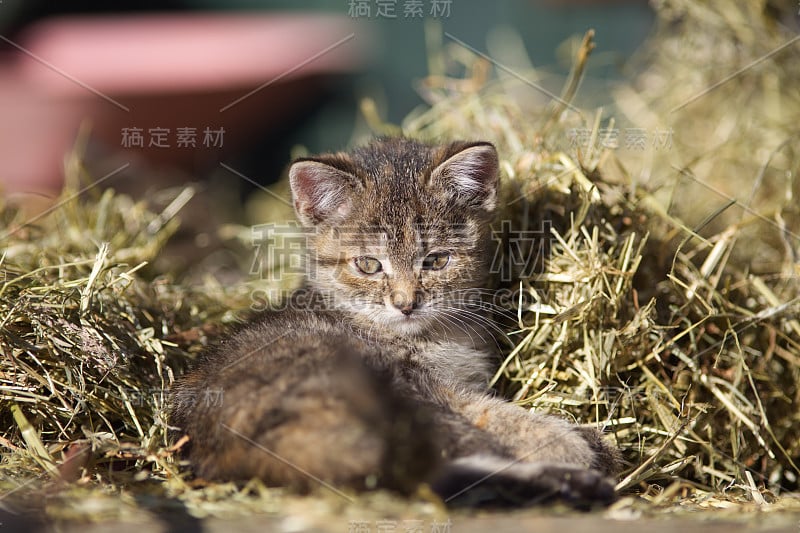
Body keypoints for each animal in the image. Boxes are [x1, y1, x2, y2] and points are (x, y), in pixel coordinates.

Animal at [170, 138, 620, 508]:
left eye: (436, 260)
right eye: (369, 265)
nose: (406, 304)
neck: (432, 336)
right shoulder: (432, 389)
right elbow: (494, 415)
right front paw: (570, 442)